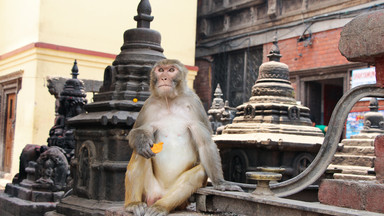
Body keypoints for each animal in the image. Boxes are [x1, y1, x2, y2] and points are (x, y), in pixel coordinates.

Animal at [124, 59, 242, 216]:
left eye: (171, 70)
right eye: (160, 70)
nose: (164, 78)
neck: (169, 101)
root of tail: (157, 196)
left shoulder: (195, 104)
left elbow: (205, 143)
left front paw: (221, 184)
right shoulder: (148, 105)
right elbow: (135, 132)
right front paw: (141, 141)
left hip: (180, 201)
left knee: (199, 173)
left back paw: (160, 207)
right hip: (148, 189)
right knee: (139, 154)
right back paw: (133, 204)